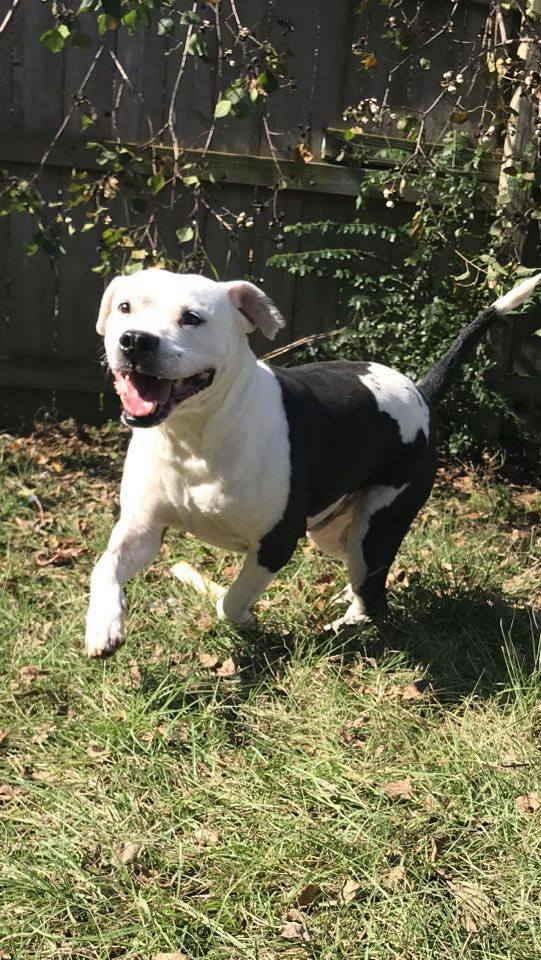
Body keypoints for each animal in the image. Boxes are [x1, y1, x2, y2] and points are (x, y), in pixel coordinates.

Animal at [83, 268, 536, 660]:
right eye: (125, 307)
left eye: (192, 318)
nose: (135, 340)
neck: (194, 436)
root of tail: (420, 391)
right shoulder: (142, 529)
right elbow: (104, 567)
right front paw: (104, 625)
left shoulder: (277, 543)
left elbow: (230, 601)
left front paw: (246, 621)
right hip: (335, 531)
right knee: (364, 576)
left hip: (378, 523)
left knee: (374, 594)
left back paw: (342, 628)